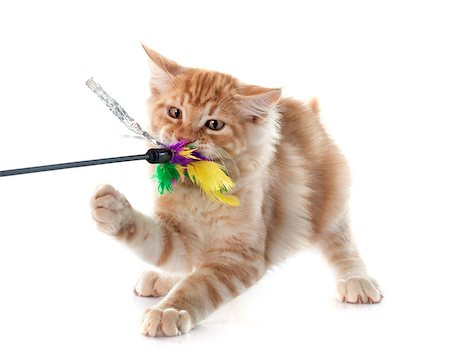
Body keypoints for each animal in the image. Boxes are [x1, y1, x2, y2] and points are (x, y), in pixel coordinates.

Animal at [89, 44, 382, 338]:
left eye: (214, 124)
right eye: (175, 112)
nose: (183, 139)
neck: (196, 192)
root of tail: (309, 111)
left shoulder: (239, 256)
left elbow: (199, 286)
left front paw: (169, 311)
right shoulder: (180, 237)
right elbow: (153, 239)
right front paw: (114, 211)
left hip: (330, 205)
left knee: (342, 245)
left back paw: (357, 280)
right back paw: (161, 277)